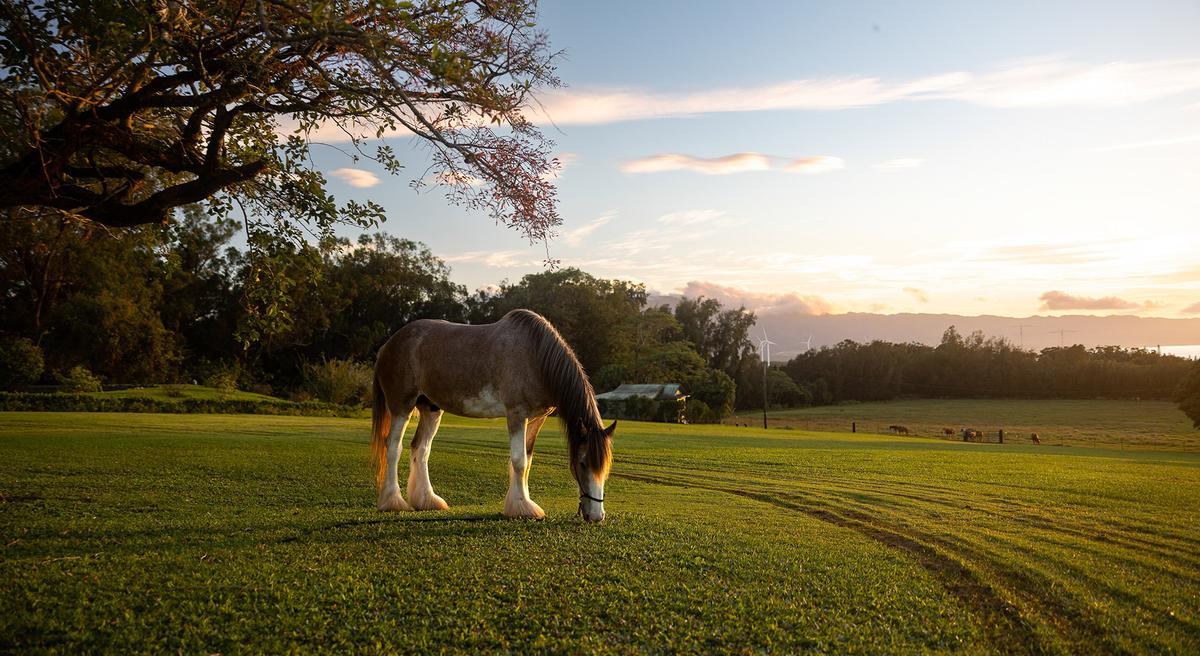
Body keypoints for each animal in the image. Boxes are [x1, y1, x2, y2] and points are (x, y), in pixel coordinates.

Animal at [370, 309, 615, 522]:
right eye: (582, 463)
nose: (596, 516)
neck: (535, 357)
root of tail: (389, 344)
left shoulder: (536, 418)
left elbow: (528, 461)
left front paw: (520, 503)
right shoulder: (516, 414)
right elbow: (519, 461)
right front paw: (522, 507)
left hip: (431, 409)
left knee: (421, 448)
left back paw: (427, 500)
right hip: (401, 406)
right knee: (393, 447)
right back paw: (393, 502)